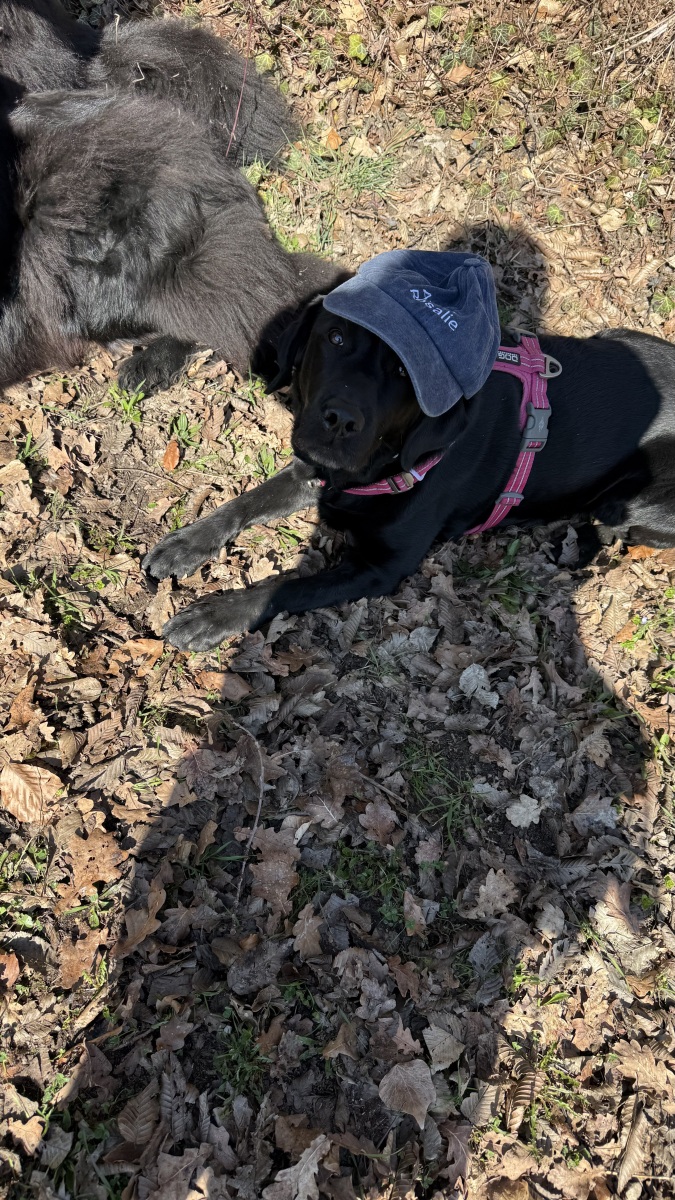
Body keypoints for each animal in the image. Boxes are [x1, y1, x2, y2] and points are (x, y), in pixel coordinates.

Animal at [143, 251, 675, 653]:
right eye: (335, 337)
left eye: (403, 372)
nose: (340, 419)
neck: (384, 462)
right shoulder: (313, 471)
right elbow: (245, 502)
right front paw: (186, 544)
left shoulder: (379, 568)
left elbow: (286, 585)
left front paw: (215, 614)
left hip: (626, 499)